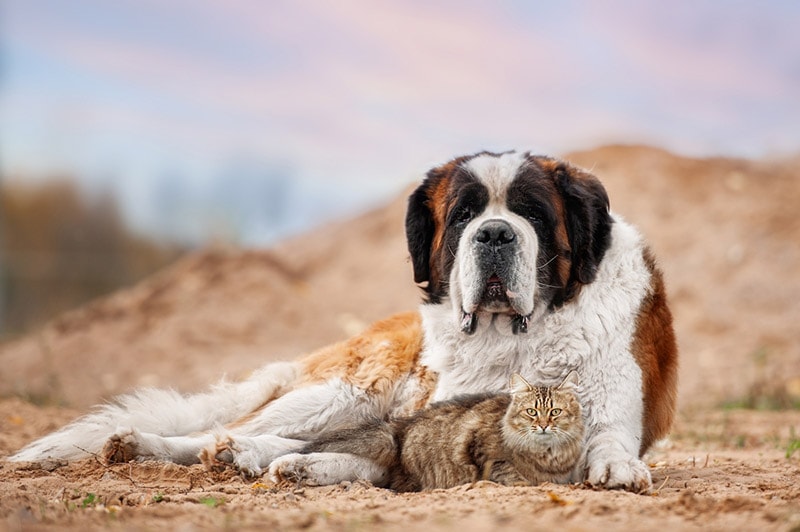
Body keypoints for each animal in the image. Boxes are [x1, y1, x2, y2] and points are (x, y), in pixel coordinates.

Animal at [274, 372, 580, 492]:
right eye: (531, 412)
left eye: (555, 412)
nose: (544, 425)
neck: (548, 455)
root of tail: (399, 429)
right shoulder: (484, 451)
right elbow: (513, 476)